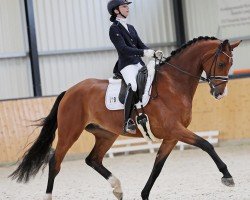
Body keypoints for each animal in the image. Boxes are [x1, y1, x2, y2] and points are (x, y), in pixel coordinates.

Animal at [10, 36, 241, 199]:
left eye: (230, 65)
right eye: (221, 64)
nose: (220, 93)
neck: (174, 84)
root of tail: (69, 91)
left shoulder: (172, 136)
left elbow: (158, 166)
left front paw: (144, 195)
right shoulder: (175, 129)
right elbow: (206, 144)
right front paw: (227, 176)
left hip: (106, 134)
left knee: (92, 159)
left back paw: (118, 189)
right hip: (70, 132)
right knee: (55, 161)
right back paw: (50, 195)